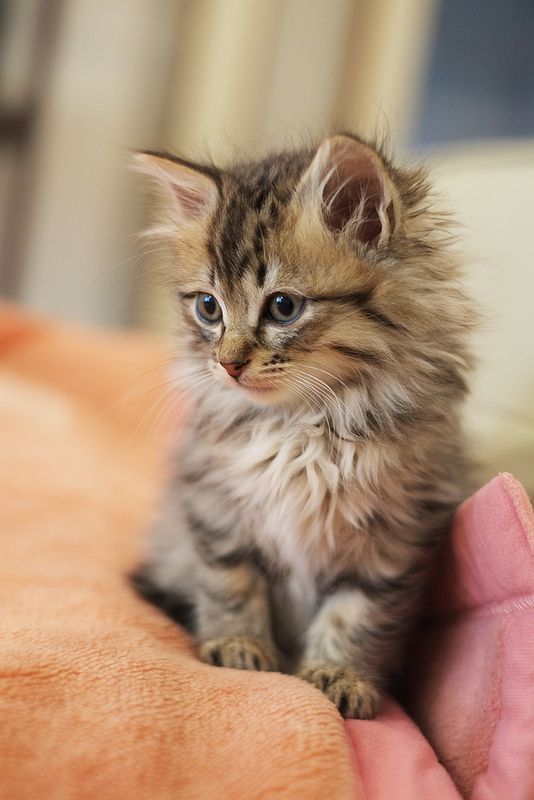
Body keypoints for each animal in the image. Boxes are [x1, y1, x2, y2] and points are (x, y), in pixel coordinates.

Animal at [132, 133, 476, 720]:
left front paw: (338, 675)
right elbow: (230, 583)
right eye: (209, 308)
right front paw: (240, 646)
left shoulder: (397, 535)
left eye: (283, 306)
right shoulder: (213, 506)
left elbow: (357, 614)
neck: (301, 426)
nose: (227, 363)